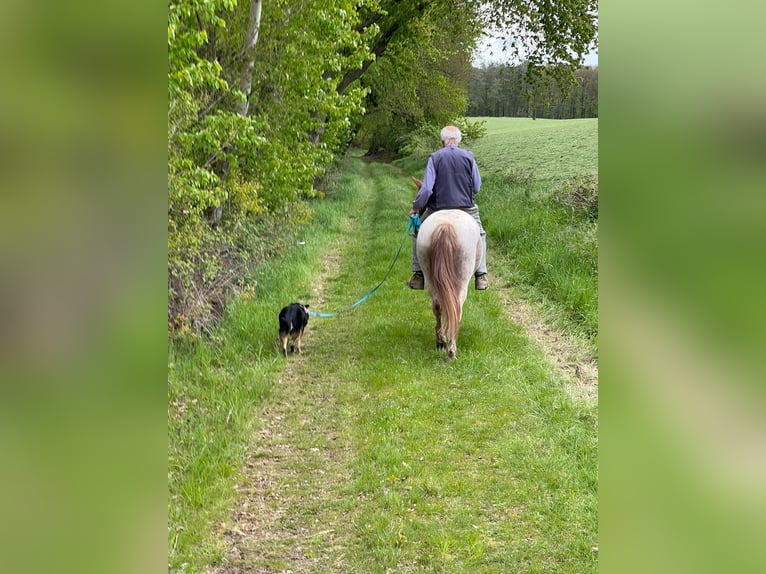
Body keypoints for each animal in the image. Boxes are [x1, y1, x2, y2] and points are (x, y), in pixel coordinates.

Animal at [416, 182, 484, 360]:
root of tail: (445, 227)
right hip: (462, 281)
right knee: (456, 308)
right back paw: (451, 350)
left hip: (430, 278)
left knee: (437, 305)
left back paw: (441, 342)